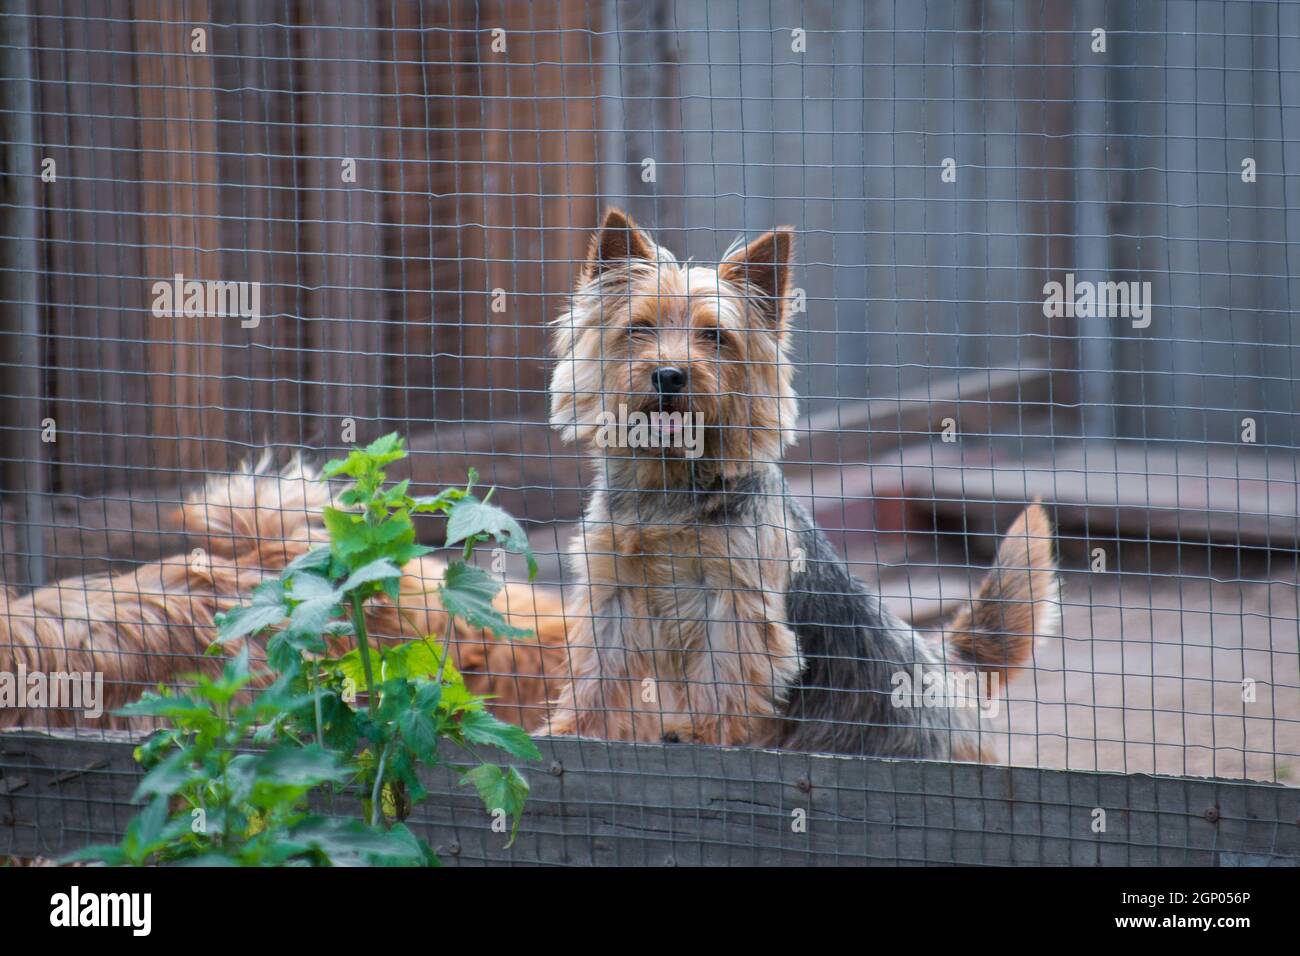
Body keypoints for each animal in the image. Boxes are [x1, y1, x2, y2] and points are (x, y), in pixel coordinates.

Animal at [543, 205, 1060, 759]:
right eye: (638, 329)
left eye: (715, 337)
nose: (669, 374)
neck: (671, 482)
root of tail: (948, 662)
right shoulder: (612, 589)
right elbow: (598, 669)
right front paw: (576, 731)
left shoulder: (734, 598)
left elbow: (726, 674)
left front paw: (710, 738)